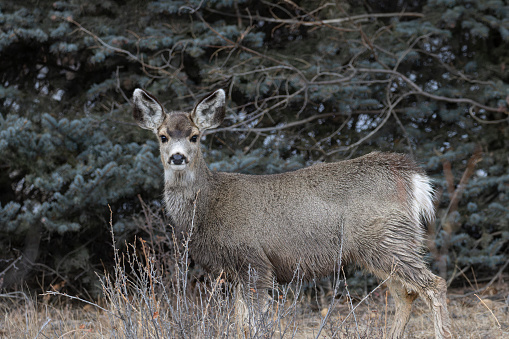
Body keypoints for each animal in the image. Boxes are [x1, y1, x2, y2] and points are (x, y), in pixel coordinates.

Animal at [132, 88, 452, 339]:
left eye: (195, 136)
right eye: (163, 136)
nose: (177, 157)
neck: (208, 205)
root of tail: (412, 177)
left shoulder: (255, 261)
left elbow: (255, 324)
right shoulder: (236, 270)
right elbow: (240, 323)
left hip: (390, 238)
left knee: (433, 285)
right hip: (375, 248)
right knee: (405, 293)